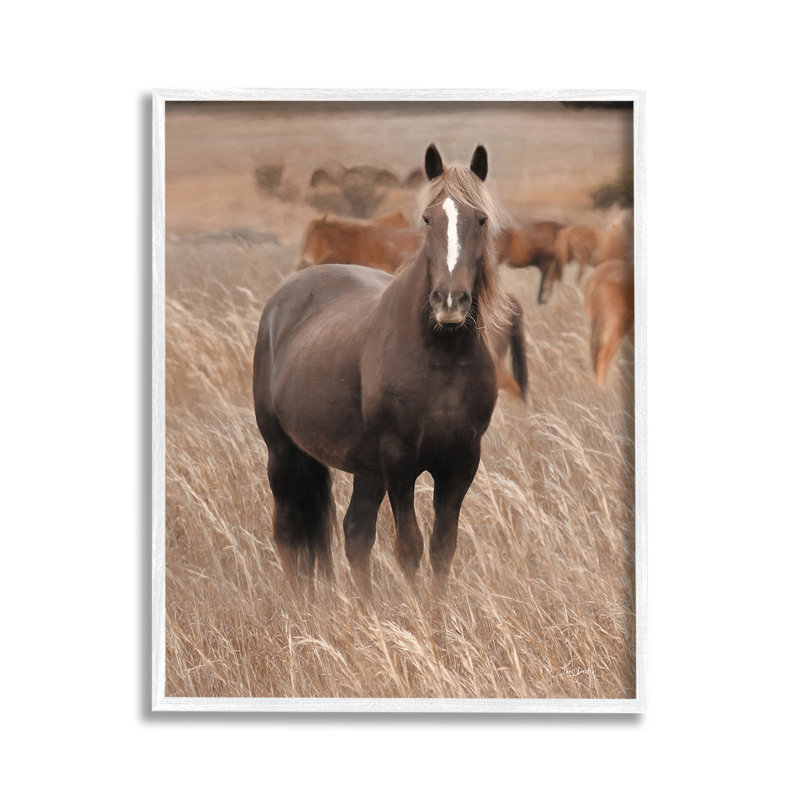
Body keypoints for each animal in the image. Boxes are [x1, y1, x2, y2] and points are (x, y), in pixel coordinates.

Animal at [253, 144, 525, 593]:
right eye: (428, 219)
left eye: (481, 219)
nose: (449, 302)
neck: (440, 358)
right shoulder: (399, 463)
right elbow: (409, 548)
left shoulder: (460, 463)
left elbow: (442, 547)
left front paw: (435, 613)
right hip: (283, 451)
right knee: (288, 533)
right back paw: (298, 605)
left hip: (365, 468)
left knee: (355, 534)